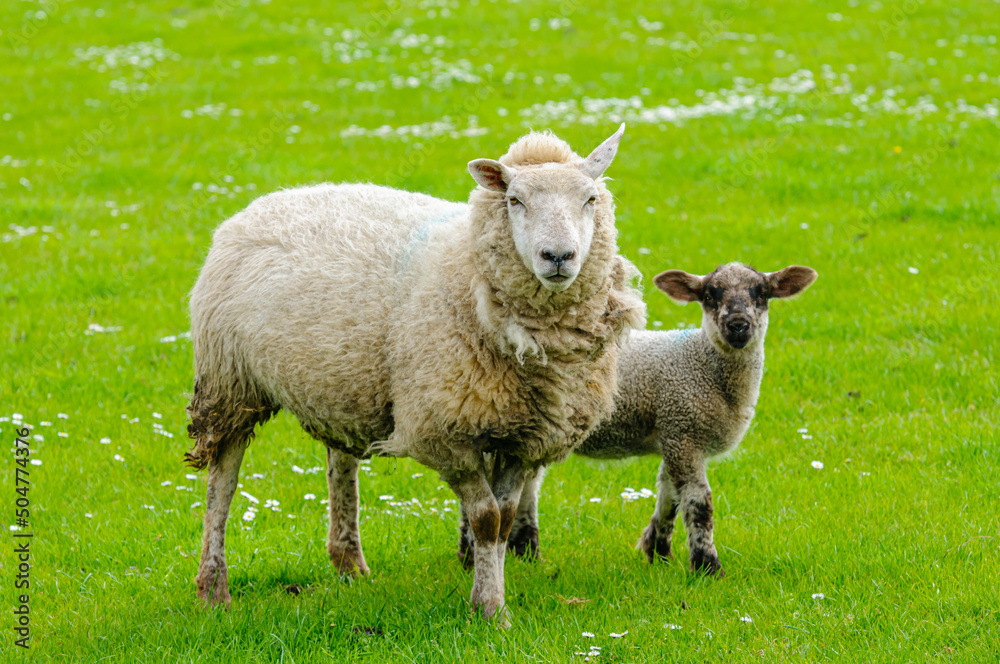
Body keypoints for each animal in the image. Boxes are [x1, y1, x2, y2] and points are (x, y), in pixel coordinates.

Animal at [184, 125, 646, 623]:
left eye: (590, 199)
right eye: (514, 200)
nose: (558, 256)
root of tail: (261, 204)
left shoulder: (525, 437)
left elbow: (503, 521)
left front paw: (494, 600)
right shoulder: (443, 430)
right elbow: (486, 519)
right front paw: (489, 608)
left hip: (341, 381)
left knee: (340, 466)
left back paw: (350, 564)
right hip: (230, 381)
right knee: (222, 482)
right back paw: (213, 588)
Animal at [458, 262, 817, 576]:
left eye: (762, 292)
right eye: (710, 295)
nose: (738, 325)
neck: (702, 363)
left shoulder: (674, 433)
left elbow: (670, 498)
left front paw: (657, 551)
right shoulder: (683, 427)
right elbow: (698, 502)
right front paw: (707, 567)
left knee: (524, 489)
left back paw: (524, 552)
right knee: (477, 497)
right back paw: (473, 557)